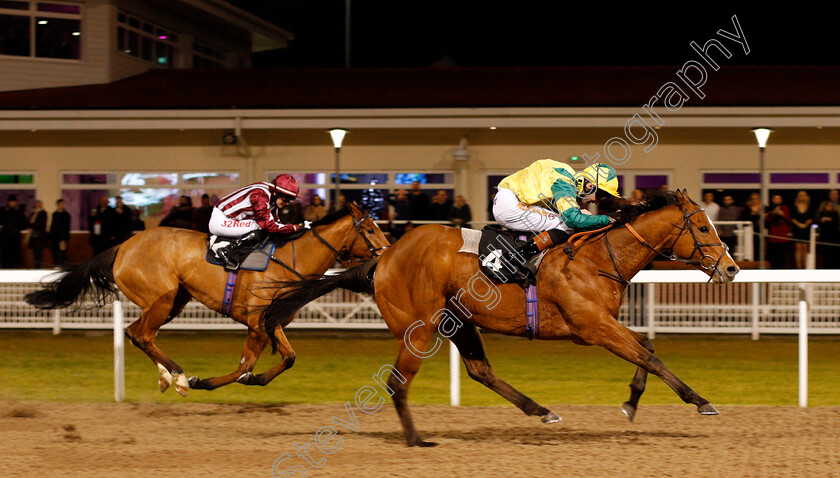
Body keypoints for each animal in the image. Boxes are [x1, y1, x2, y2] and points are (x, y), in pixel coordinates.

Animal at [27, 202, 390, 396]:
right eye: (371, 229)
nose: (387, 252)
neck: (293, 259)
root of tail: (123, 246)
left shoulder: (271, 322)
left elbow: (286, 358)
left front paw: (256, 378)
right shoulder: (257, 323)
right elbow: (245, 365)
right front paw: (204, 381)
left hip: (172, 301)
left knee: (135, 333)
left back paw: (167, 377)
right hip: (162, 298)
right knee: (143, 335)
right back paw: (179, 376)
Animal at [264, 189, 740, 446]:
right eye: (702, 228)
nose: (732, 268)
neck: (599, 257)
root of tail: (384, 257)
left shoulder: (602, 325)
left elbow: (647, 348)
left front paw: (630, 402)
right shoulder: (593, 327)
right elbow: (651, 357)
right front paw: (700, 401)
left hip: (458, 321)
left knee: (480, 370)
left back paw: (540, 410)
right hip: (420, 329)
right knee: (399, 382)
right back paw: (417, 439)